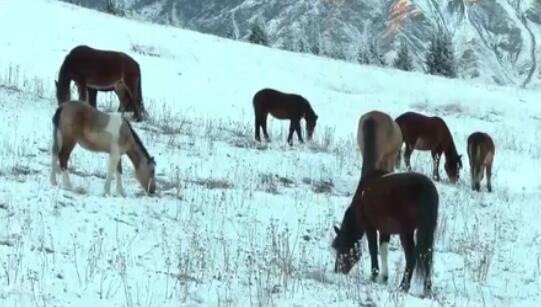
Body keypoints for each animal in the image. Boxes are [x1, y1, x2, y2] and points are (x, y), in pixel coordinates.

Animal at [330, 170, 438, 298]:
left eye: (341, 247)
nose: (337, 270)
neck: (362, 195)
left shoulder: (370, 227)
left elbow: (373, 250)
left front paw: (374, 275)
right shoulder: (385, 230)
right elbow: (383, 250)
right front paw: (384, 277)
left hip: (406, 232)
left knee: (411, 257)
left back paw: (403, 286)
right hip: (427, 230)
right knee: (427, 257)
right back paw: (427, 289)